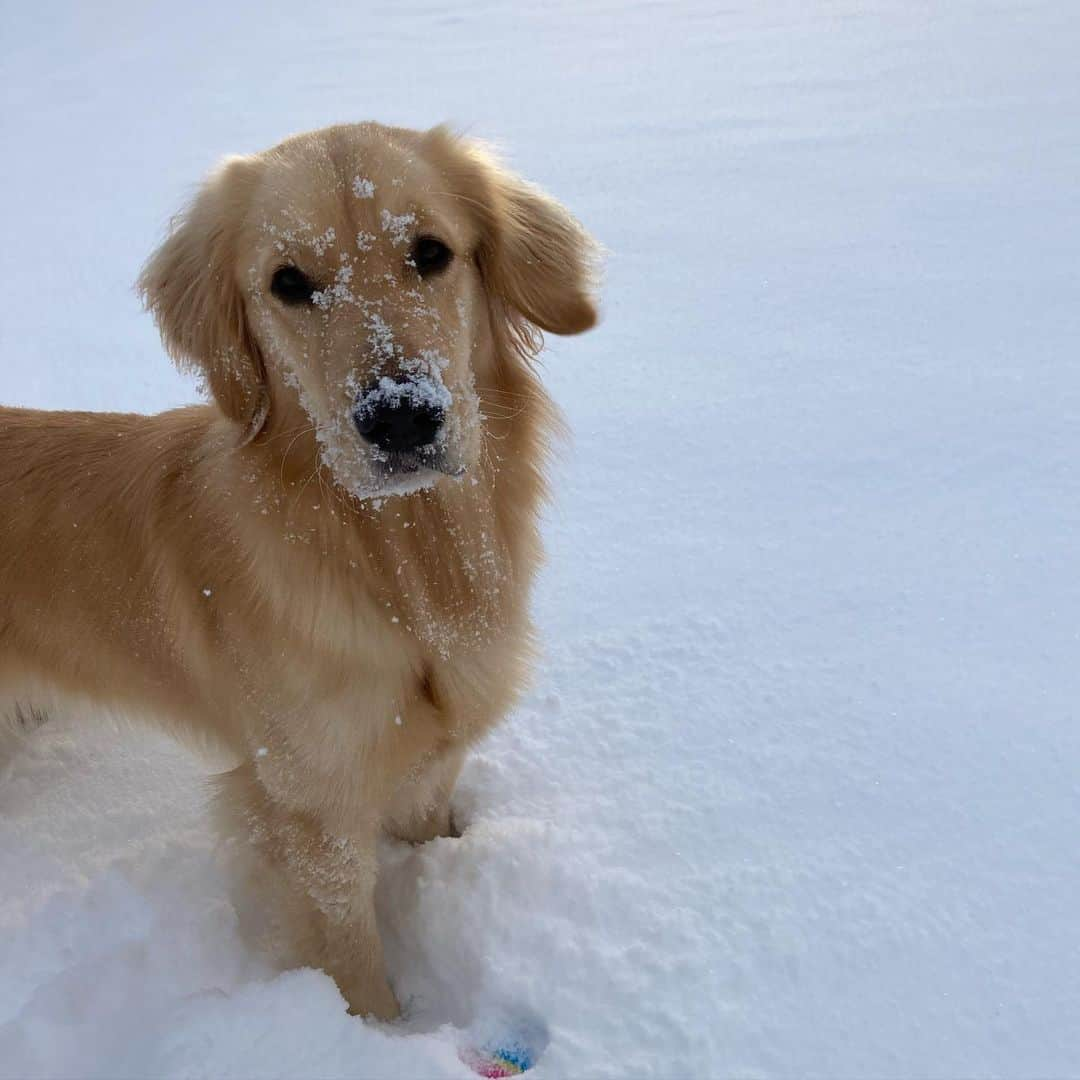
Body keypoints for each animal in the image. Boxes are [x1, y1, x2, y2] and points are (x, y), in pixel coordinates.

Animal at [0, 122, 600, 1015]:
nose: (401, 417)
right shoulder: (308, 806)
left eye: (431, 252)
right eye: (288, 283)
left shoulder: (427, 761)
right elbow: (350, 953)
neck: (405, 569)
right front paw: (381, 1032)